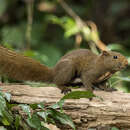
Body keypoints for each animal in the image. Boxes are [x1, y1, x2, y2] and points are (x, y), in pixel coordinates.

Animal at [0, 45, 128, 93]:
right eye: (115, 57)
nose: (127, 63)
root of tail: (54, 72)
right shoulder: (89, 72)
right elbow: (87, 80)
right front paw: (90, 90)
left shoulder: (103, 79)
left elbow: (103, 85)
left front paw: (109, 89)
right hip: (68, 68)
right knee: (57, 82)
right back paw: (65, 88)